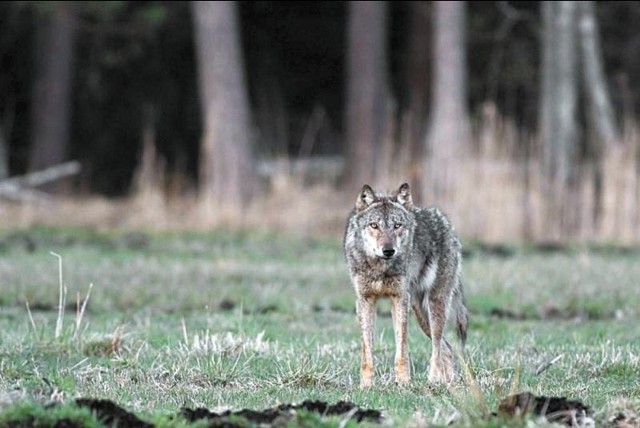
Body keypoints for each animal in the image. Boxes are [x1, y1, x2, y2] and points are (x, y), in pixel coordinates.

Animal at [342, 184, 468, 388]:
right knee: (446, 348)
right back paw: (448, 384)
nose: (388, 250)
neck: (381, 268)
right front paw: (366, 385)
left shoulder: (400, 298)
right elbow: (366, 350)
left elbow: (402, 348)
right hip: (420, 313)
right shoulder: (365, 301)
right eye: (374, 225)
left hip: (434, 305)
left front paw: (403, 383)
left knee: (437, 346)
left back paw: (434, 380)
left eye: (397, 225)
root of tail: (447, 225)